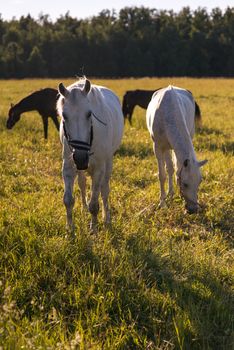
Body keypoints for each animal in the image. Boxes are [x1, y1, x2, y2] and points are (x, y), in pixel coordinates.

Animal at [57, 78, 124, 231]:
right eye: (64, 115)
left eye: (89, 114)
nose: (80, 158)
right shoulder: (69, 166)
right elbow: (68, 200)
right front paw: (70, 229)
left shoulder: (99, 167)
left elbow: (94, 204)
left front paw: (93, 229)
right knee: (82, 183)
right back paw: (83, 208)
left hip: (108, 163)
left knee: (104, 190)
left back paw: (106, 218)